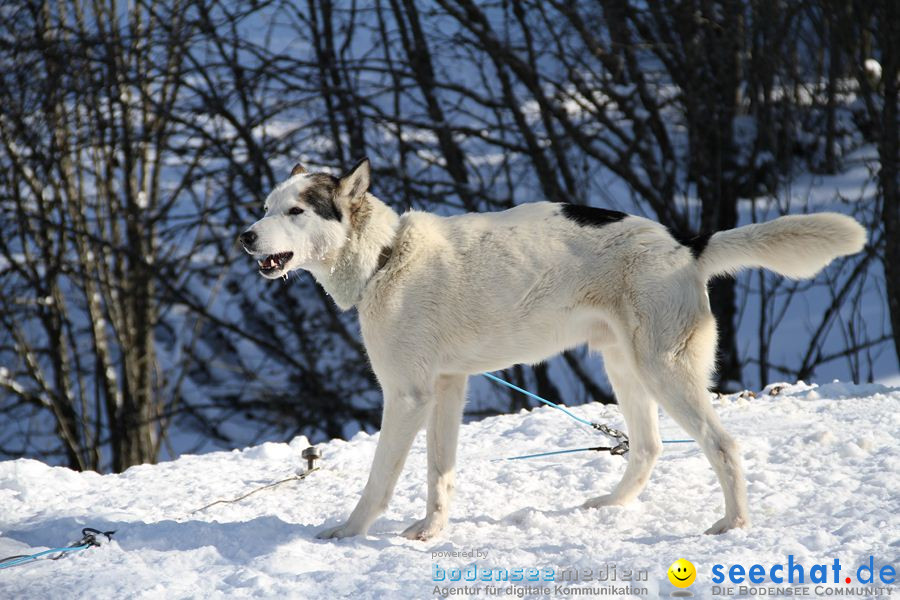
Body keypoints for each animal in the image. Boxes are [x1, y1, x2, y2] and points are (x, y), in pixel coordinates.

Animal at [237, 158, 864, 540]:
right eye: (266, 207)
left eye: (296, 211)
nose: (244, 236)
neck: (387, 257)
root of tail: (684, 244)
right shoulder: (446, 391)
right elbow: (439, 475)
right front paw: (431, 534)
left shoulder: (408, 397)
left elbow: (378, 481)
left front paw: (349, 532)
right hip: (626, 369)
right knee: (648, 447)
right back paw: (612, 505)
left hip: (664, 372)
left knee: (724, 446)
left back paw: (732, 525)